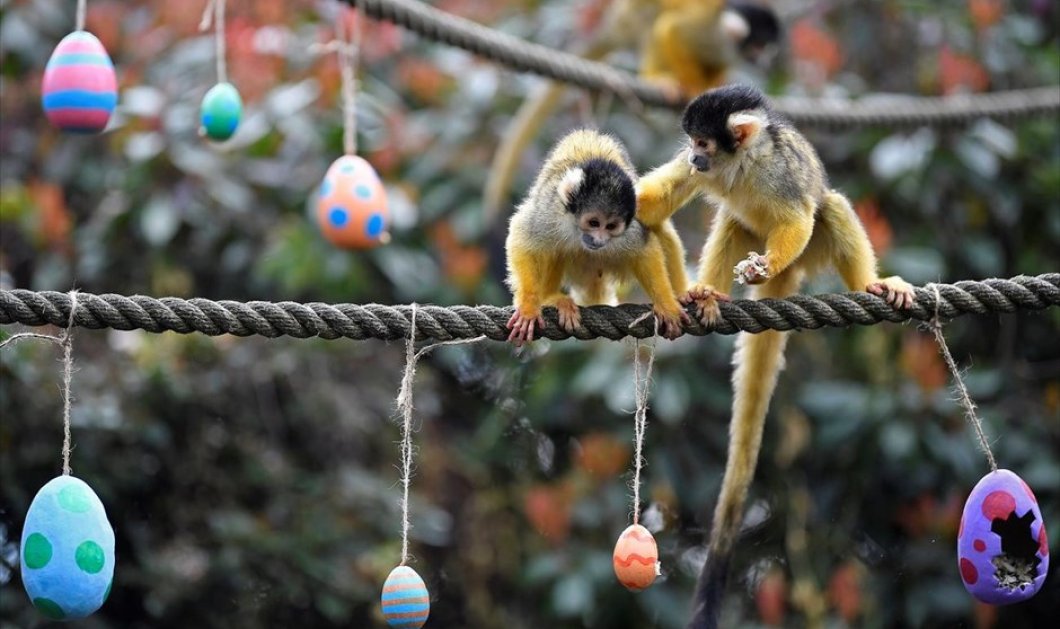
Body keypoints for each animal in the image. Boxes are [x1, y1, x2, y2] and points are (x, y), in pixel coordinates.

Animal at [506, 128, 691, 343]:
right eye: (594, 223)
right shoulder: (550, 211)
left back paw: (683, 294)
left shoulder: (631, 226)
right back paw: (550, 298)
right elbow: (523, 237)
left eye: (610, 226)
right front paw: (529, 307)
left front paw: (666, 305)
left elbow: (645, 250)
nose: (599, 240)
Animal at [631, 84, 915, 627]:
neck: (739, 165)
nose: (695, 158)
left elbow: (798, 217)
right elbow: (652, 205)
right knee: (732, 220)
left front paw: (762, 266)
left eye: (704, 141)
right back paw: (707, 295)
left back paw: (868, 284)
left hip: (810, 253)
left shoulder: (777, 172)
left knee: (828, 208)